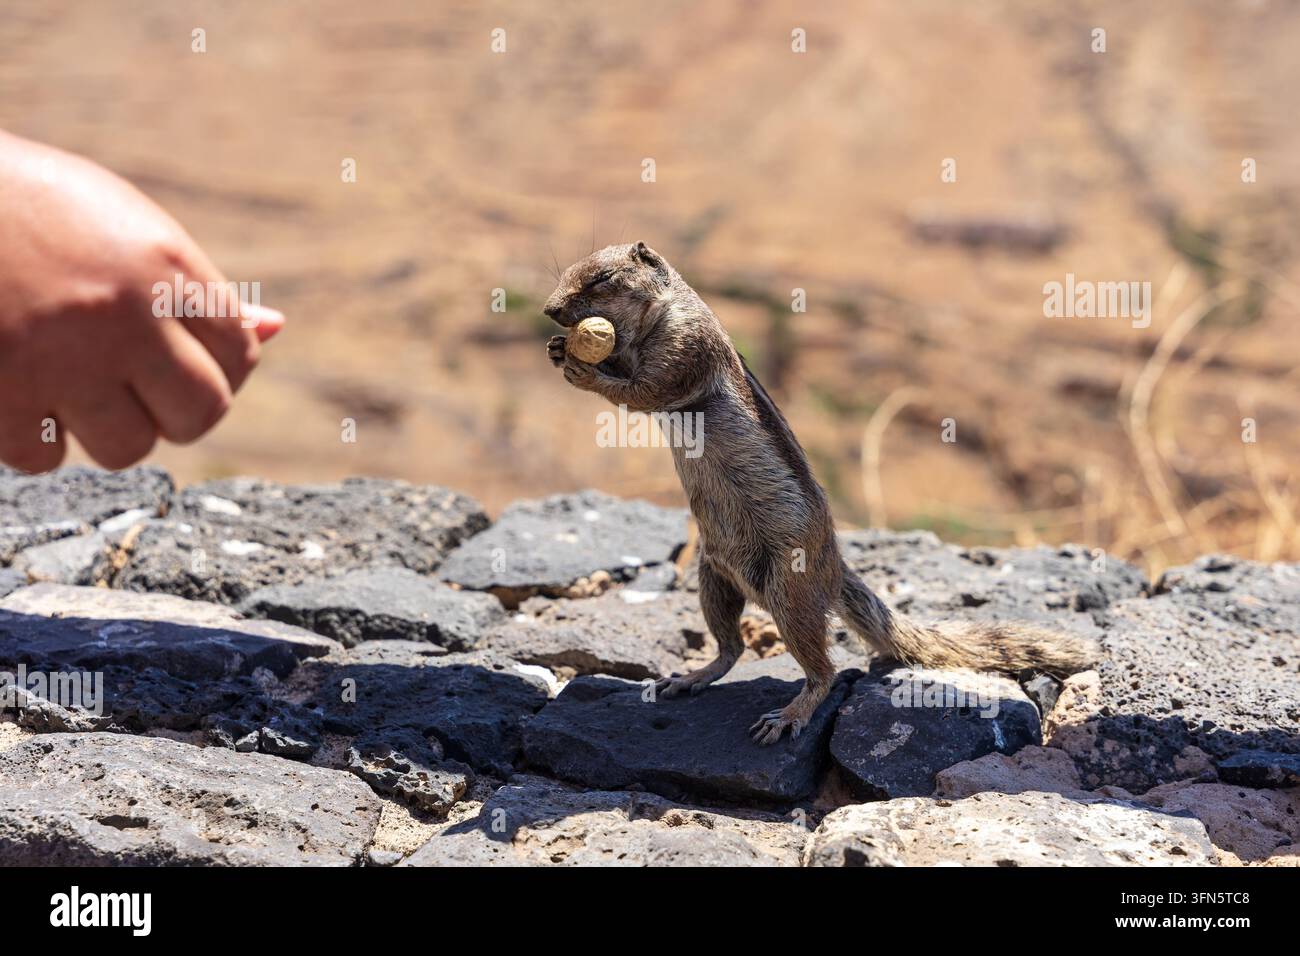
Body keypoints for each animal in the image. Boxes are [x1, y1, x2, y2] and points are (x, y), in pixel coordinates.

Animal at [544, 242, 1097, 744]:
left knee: (823, 672)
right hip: (713, 576)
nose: (550, 310)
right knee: (730, 648)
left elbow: (642, 389)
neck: (658, 314)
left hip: (791, 591)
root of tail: (834, 566)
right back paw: (693, 677)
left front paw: (582, 368)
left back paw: (789, 715)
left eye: (602, 278)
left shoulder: (686, 348)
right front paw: (557, 348)